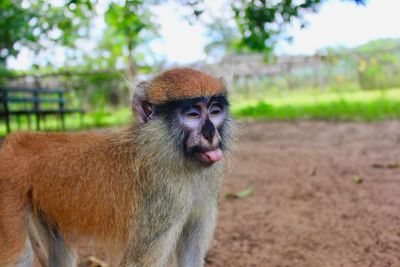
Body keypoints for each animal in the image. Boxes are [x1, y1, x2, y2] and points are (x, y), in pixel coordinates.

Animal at [0, 68, 236, 267]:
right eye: (192, 115)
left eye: (215, 111)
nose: (210, 133)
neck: (160, 151)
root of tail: (16, 140)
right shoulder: (164, 201)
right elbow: (140, 262)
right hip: (9, 190)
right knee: (20, 255)